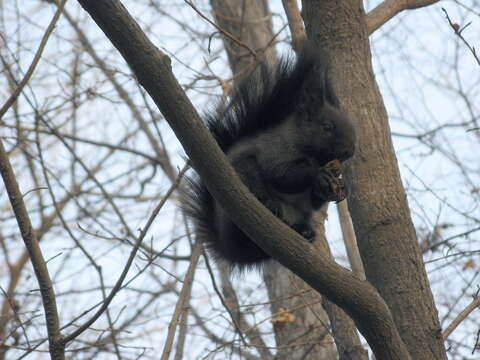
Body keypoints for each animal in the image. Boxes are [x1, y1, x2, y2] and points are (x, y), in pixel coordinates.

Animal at [185, 43, 356, 270]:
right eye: (326, 127)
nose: (350, 150)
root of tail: (230, 248)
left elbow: (314, 202)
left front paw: (340, 186)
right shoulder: (275, 152)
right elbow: (281, 174)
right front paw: (320, 174)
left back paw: (305, 232)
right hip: (241, 185)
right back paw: (269, 204)